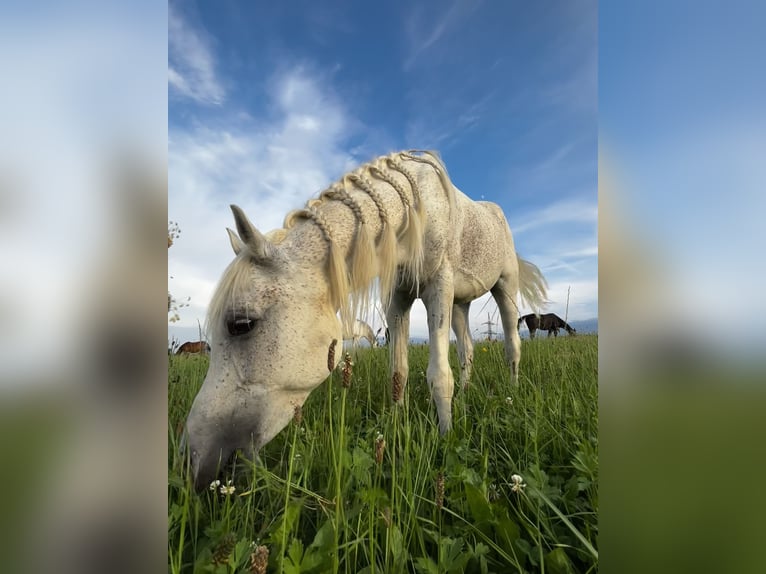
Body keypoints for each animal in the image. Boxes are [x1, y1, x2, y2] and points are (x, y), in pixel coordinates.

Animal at [183, 150, 548, 490]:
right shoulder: (397, 300)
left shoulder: (438, 289)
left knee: (511, 345)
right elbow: (398, 372)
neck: (412, 213)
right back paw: (468, 393)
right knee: (467, 352)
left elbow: (439, 376)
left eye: (241, 324)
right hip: (460, 303)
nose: (196, 461)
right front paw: (396, 425)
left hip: (503, 288)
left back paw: (512, 391)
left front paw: (446, 438)